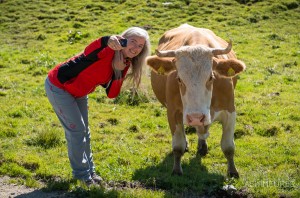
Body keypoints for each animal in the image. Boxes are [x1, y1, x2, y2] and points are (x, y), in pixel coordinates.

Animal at [146, 24, 246, 177]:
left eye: (211, 77)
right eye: (179, 79)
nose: (196, 117)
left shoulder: (230, 110)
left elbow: (228, 146)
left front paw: (233, 171)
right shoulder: (173, 112)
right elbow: (178, 146)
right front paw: (176, 170)